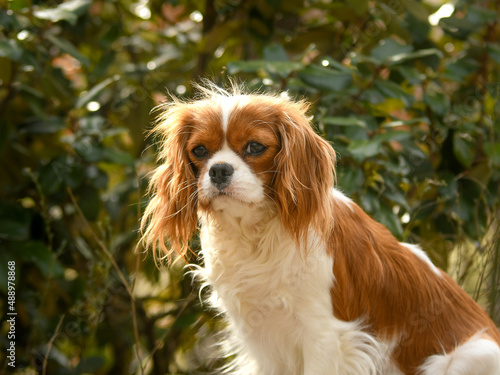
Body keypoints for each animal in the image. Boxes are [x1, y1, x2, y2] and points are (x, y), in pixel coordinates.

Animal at [142, 83, 500, 374]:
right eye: (200, 151)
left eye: (255, 147)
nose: (218, 170)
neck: (254, 233)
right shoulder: (263, 342)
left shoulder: (325, 337)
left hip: (462, 359)